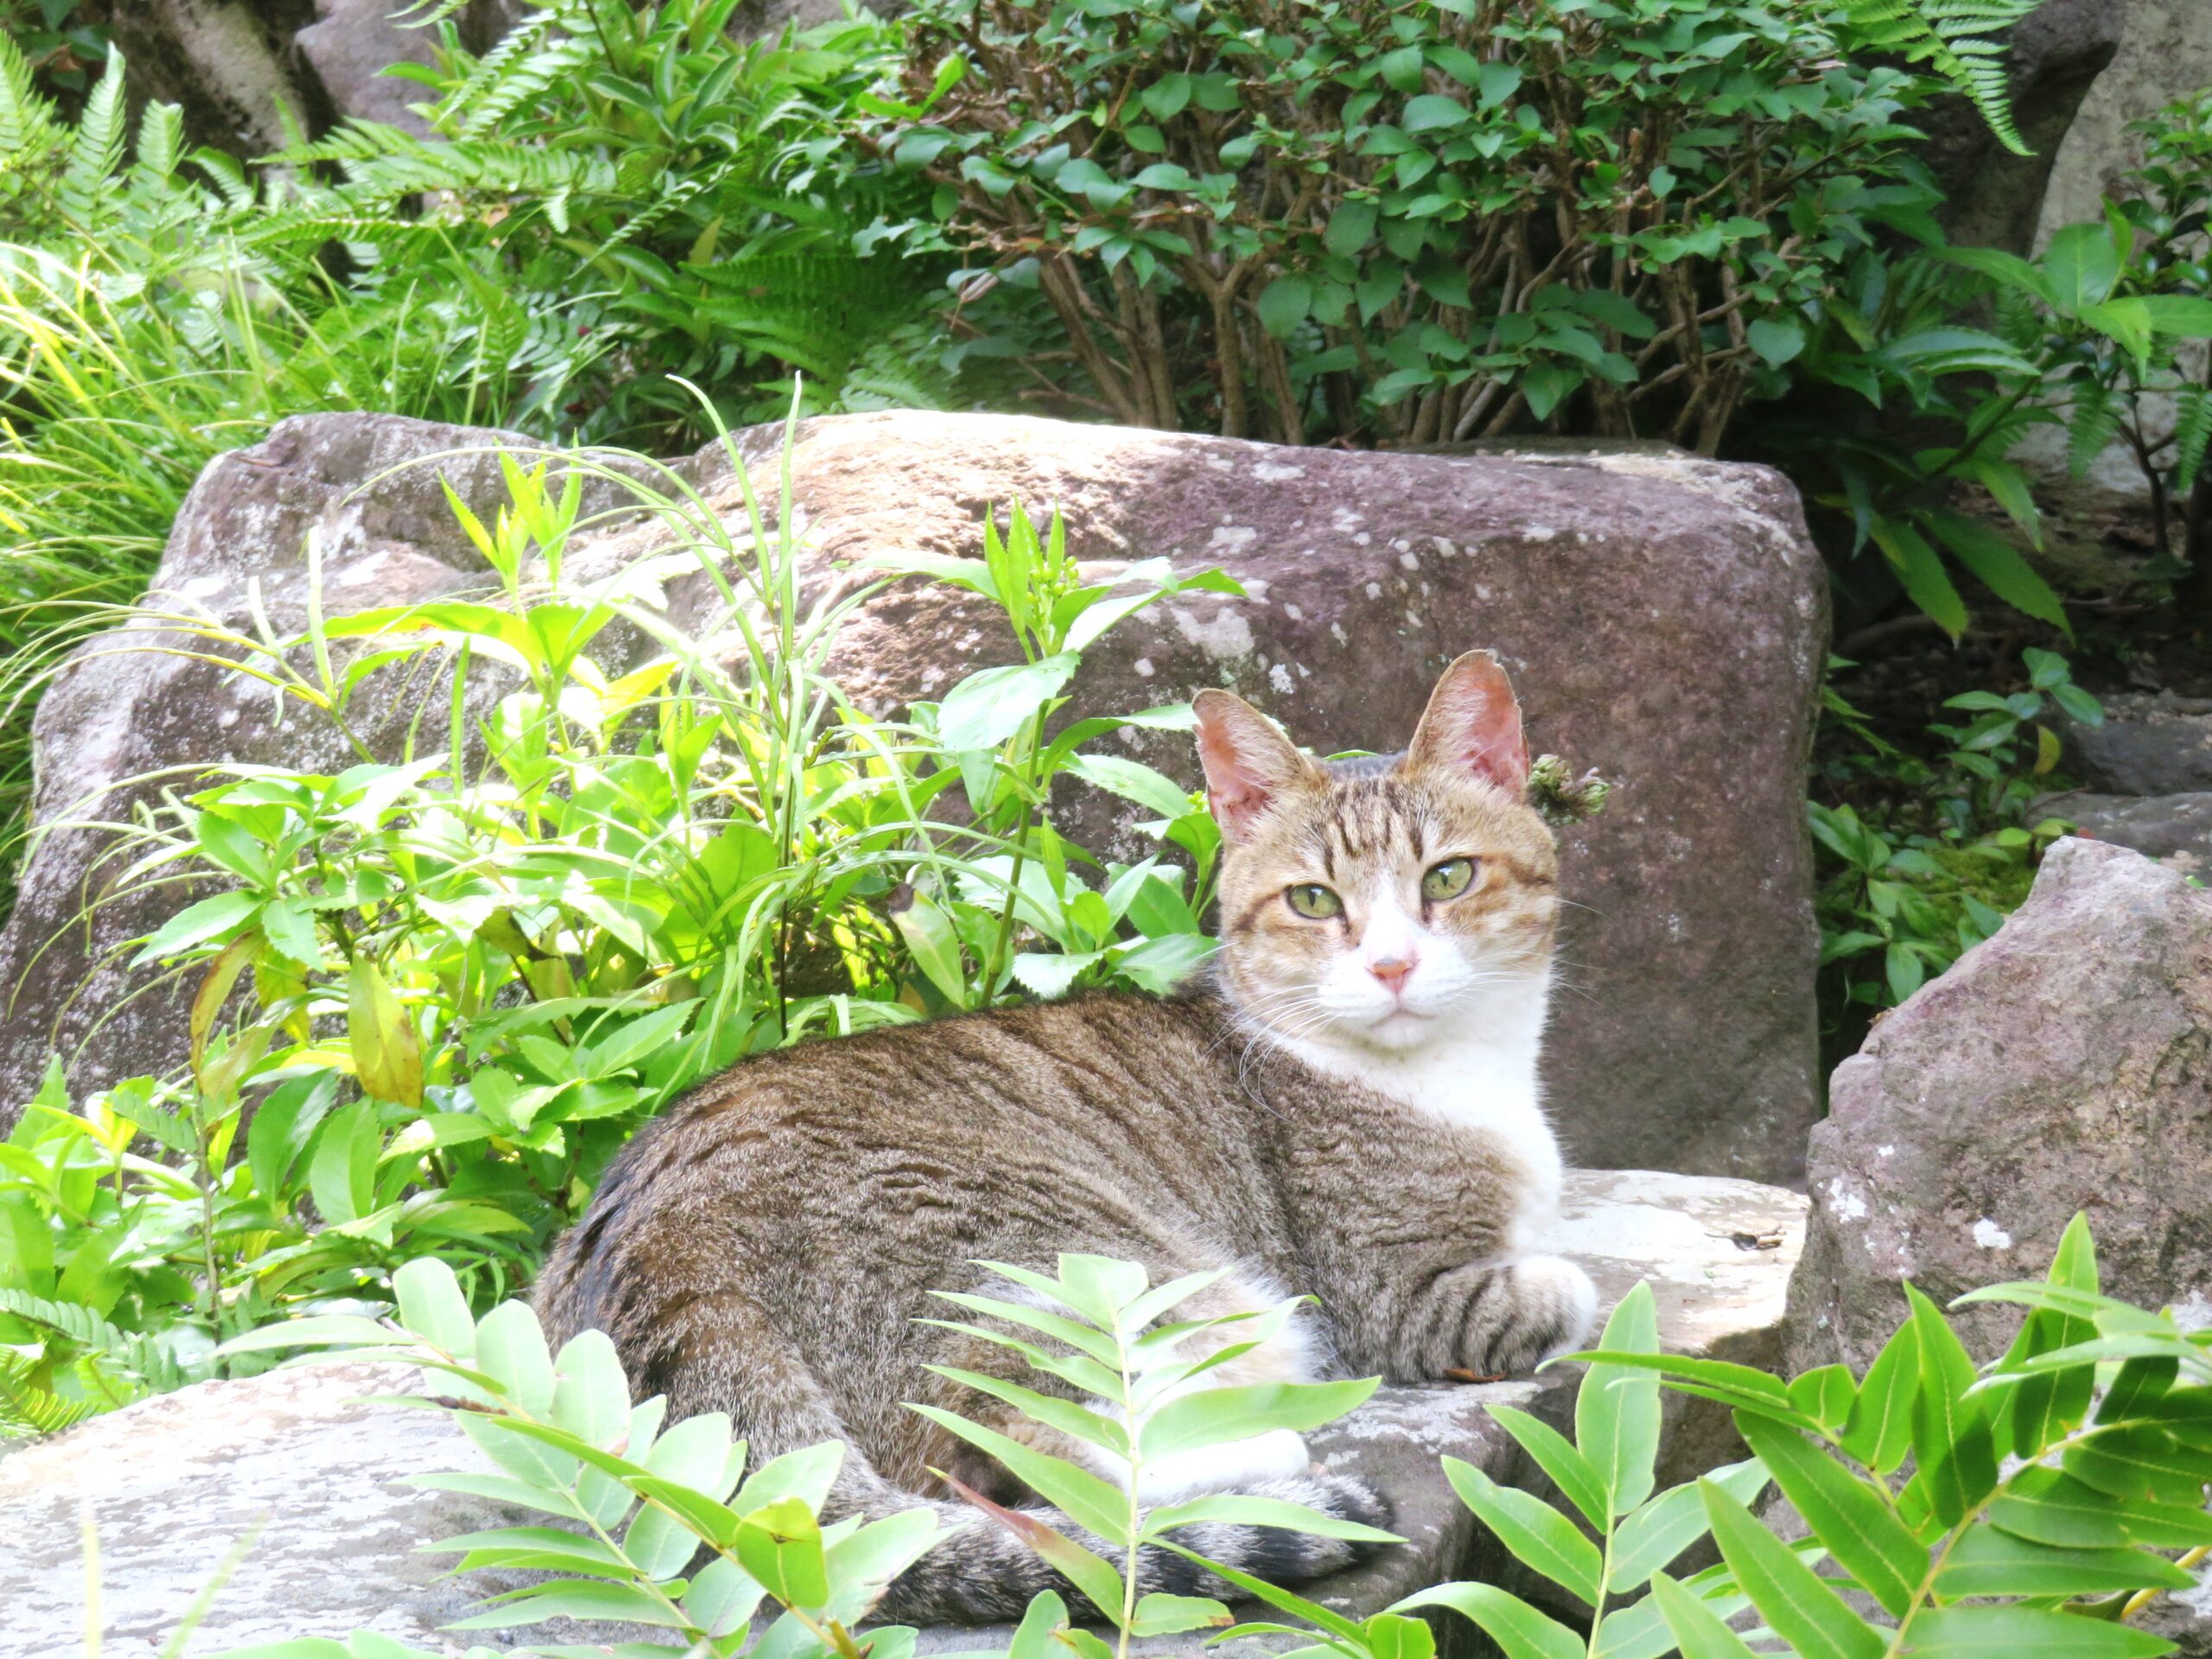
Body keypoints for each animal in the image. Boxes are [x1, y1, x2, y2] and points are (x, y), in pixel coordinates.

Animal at [532, 650, 1592, 1628]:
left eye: (1448, 877)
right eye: (1313, 901)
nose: (1392, 966)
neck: (1460, 1073)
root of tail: (659, 1252)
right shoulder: (1398, 1297)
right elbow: (1569, 1289)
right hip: (1093, 1274)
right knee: (1029, 1466)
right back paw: (1268, 1461)